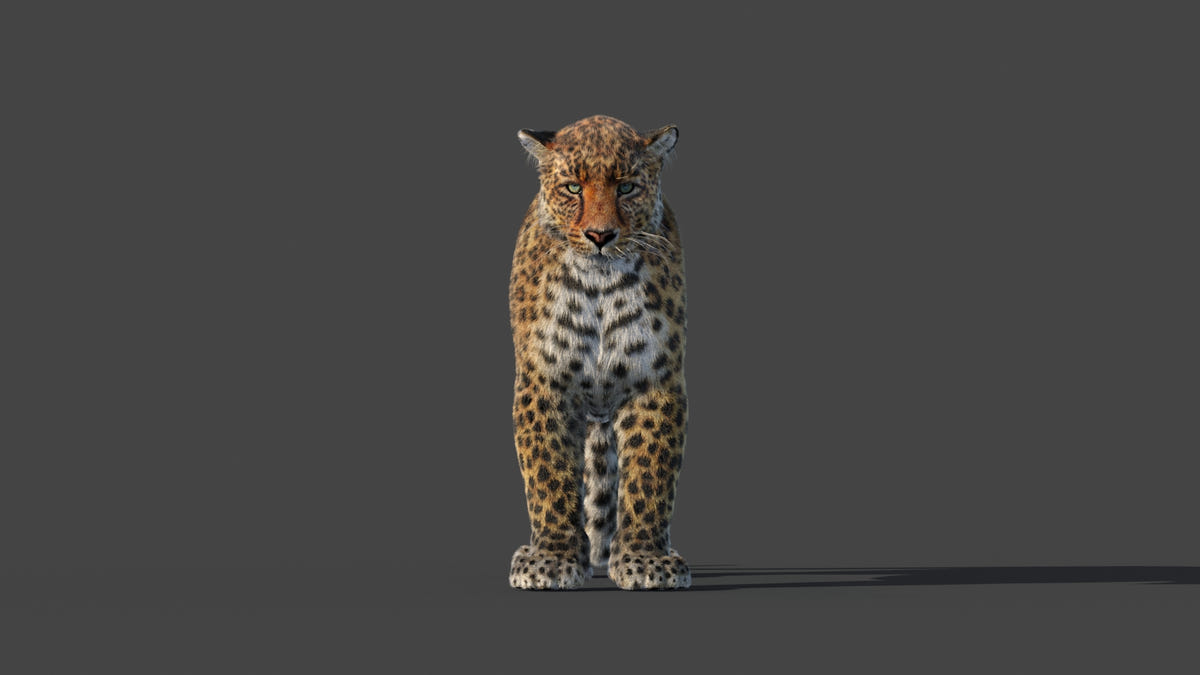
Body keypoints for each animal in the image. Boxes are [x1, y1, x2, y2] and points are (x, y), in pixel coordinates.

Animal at [507, 115, 690, 590]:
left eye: (626, 187)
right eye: (573, 188)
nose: (600, 236)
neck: (600, 282)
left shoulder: (654, 381)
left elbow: (650, 476)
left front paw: (645, 560)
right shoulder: (544, 381)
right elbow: (548, 473)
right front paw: (551, 559)